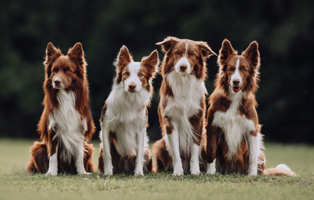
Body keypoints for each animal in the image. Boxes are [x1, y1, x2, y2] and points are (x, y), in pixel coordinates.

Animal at [26, 42, 95, 175]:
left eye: (68, 70)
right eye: (54, 70)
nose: (56, 81)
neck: (66, 94)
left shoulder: (80, 129)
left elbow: (79, 155)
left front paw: (82, 172)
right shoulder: (52, 129)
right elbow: (53, 155)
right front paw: (51, 173)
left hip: (88, 148)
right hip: (38, 148)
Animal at [98, 45, 159, 175]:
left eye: (141, 75)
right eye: (126, 73)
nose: (132, 86)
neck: (129, 100)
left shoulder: (140, 129)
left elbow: (139, 155)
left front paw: (138, 173)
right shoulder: (106, 125)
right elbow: (107, 154)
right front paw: (108, 173)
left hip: (147, 149)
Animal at [153, 36, 217, 176]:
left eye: (193, 54)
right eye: (177, 53)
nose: (183, 67)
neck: (183, 82)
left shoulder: (197, 120)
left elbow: (194, 149)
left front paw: (195, 171)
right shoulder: (170, 121)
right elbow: (176, 152)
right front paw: (177, 171)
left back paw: (209, 171)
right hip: (160, 144)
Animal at [205, 39, 296, 177]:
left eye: (244, 69)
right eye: (231, 69)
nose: (236, 81)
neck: (235, 99)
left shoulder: (252, 130)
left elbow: (252, 157)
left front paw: (252, 175)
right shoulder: (213, 127)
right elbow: (212, 151)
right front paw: (210, 172)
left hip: (260, 154)